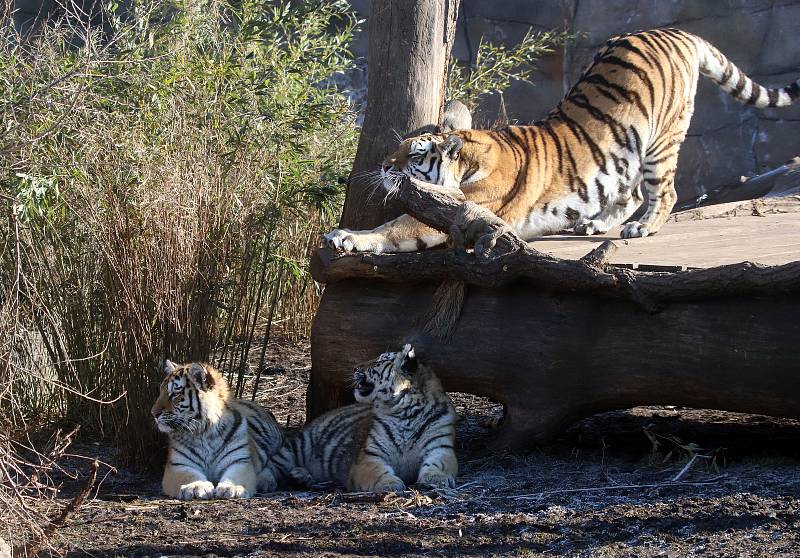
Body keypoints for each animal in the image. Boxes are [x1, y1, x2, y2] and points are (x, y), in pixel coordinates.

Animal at [152, 364, 286, 504]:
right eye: (160, 392)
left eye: (176, 394)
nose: (153, 413)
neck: (204, 432)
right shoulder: (178, 465)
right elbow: (189, 475)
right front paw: (195, 487)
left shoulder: (240, 461)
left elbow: (235, 476)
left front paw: (232, 488)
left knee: (274, 465)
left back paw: (264, 481)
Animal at [268, 344, 456, 492]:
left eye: (379, 362)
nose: (355, 368)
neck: (404, 413)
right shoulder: (369, 455)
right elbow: (378, 472)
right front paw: (389, 484)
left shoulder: (441, 448)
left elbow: (438, 464)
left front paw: (436, 479)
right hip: (298, 444)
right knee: (274, 464)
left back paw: (300, 476)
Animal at [326, 28, 800, 252]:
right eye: (399, 147)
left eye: (413, 155)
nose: (383, 166)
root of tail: (677, 33)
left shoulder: (462, 213)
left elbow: (396, 226)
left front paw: (348, 236)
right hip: (624, 150)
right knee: (629, 192)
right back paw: (597, 223)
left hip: (661, 141)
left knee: (664, 192)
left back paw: (641, 228)